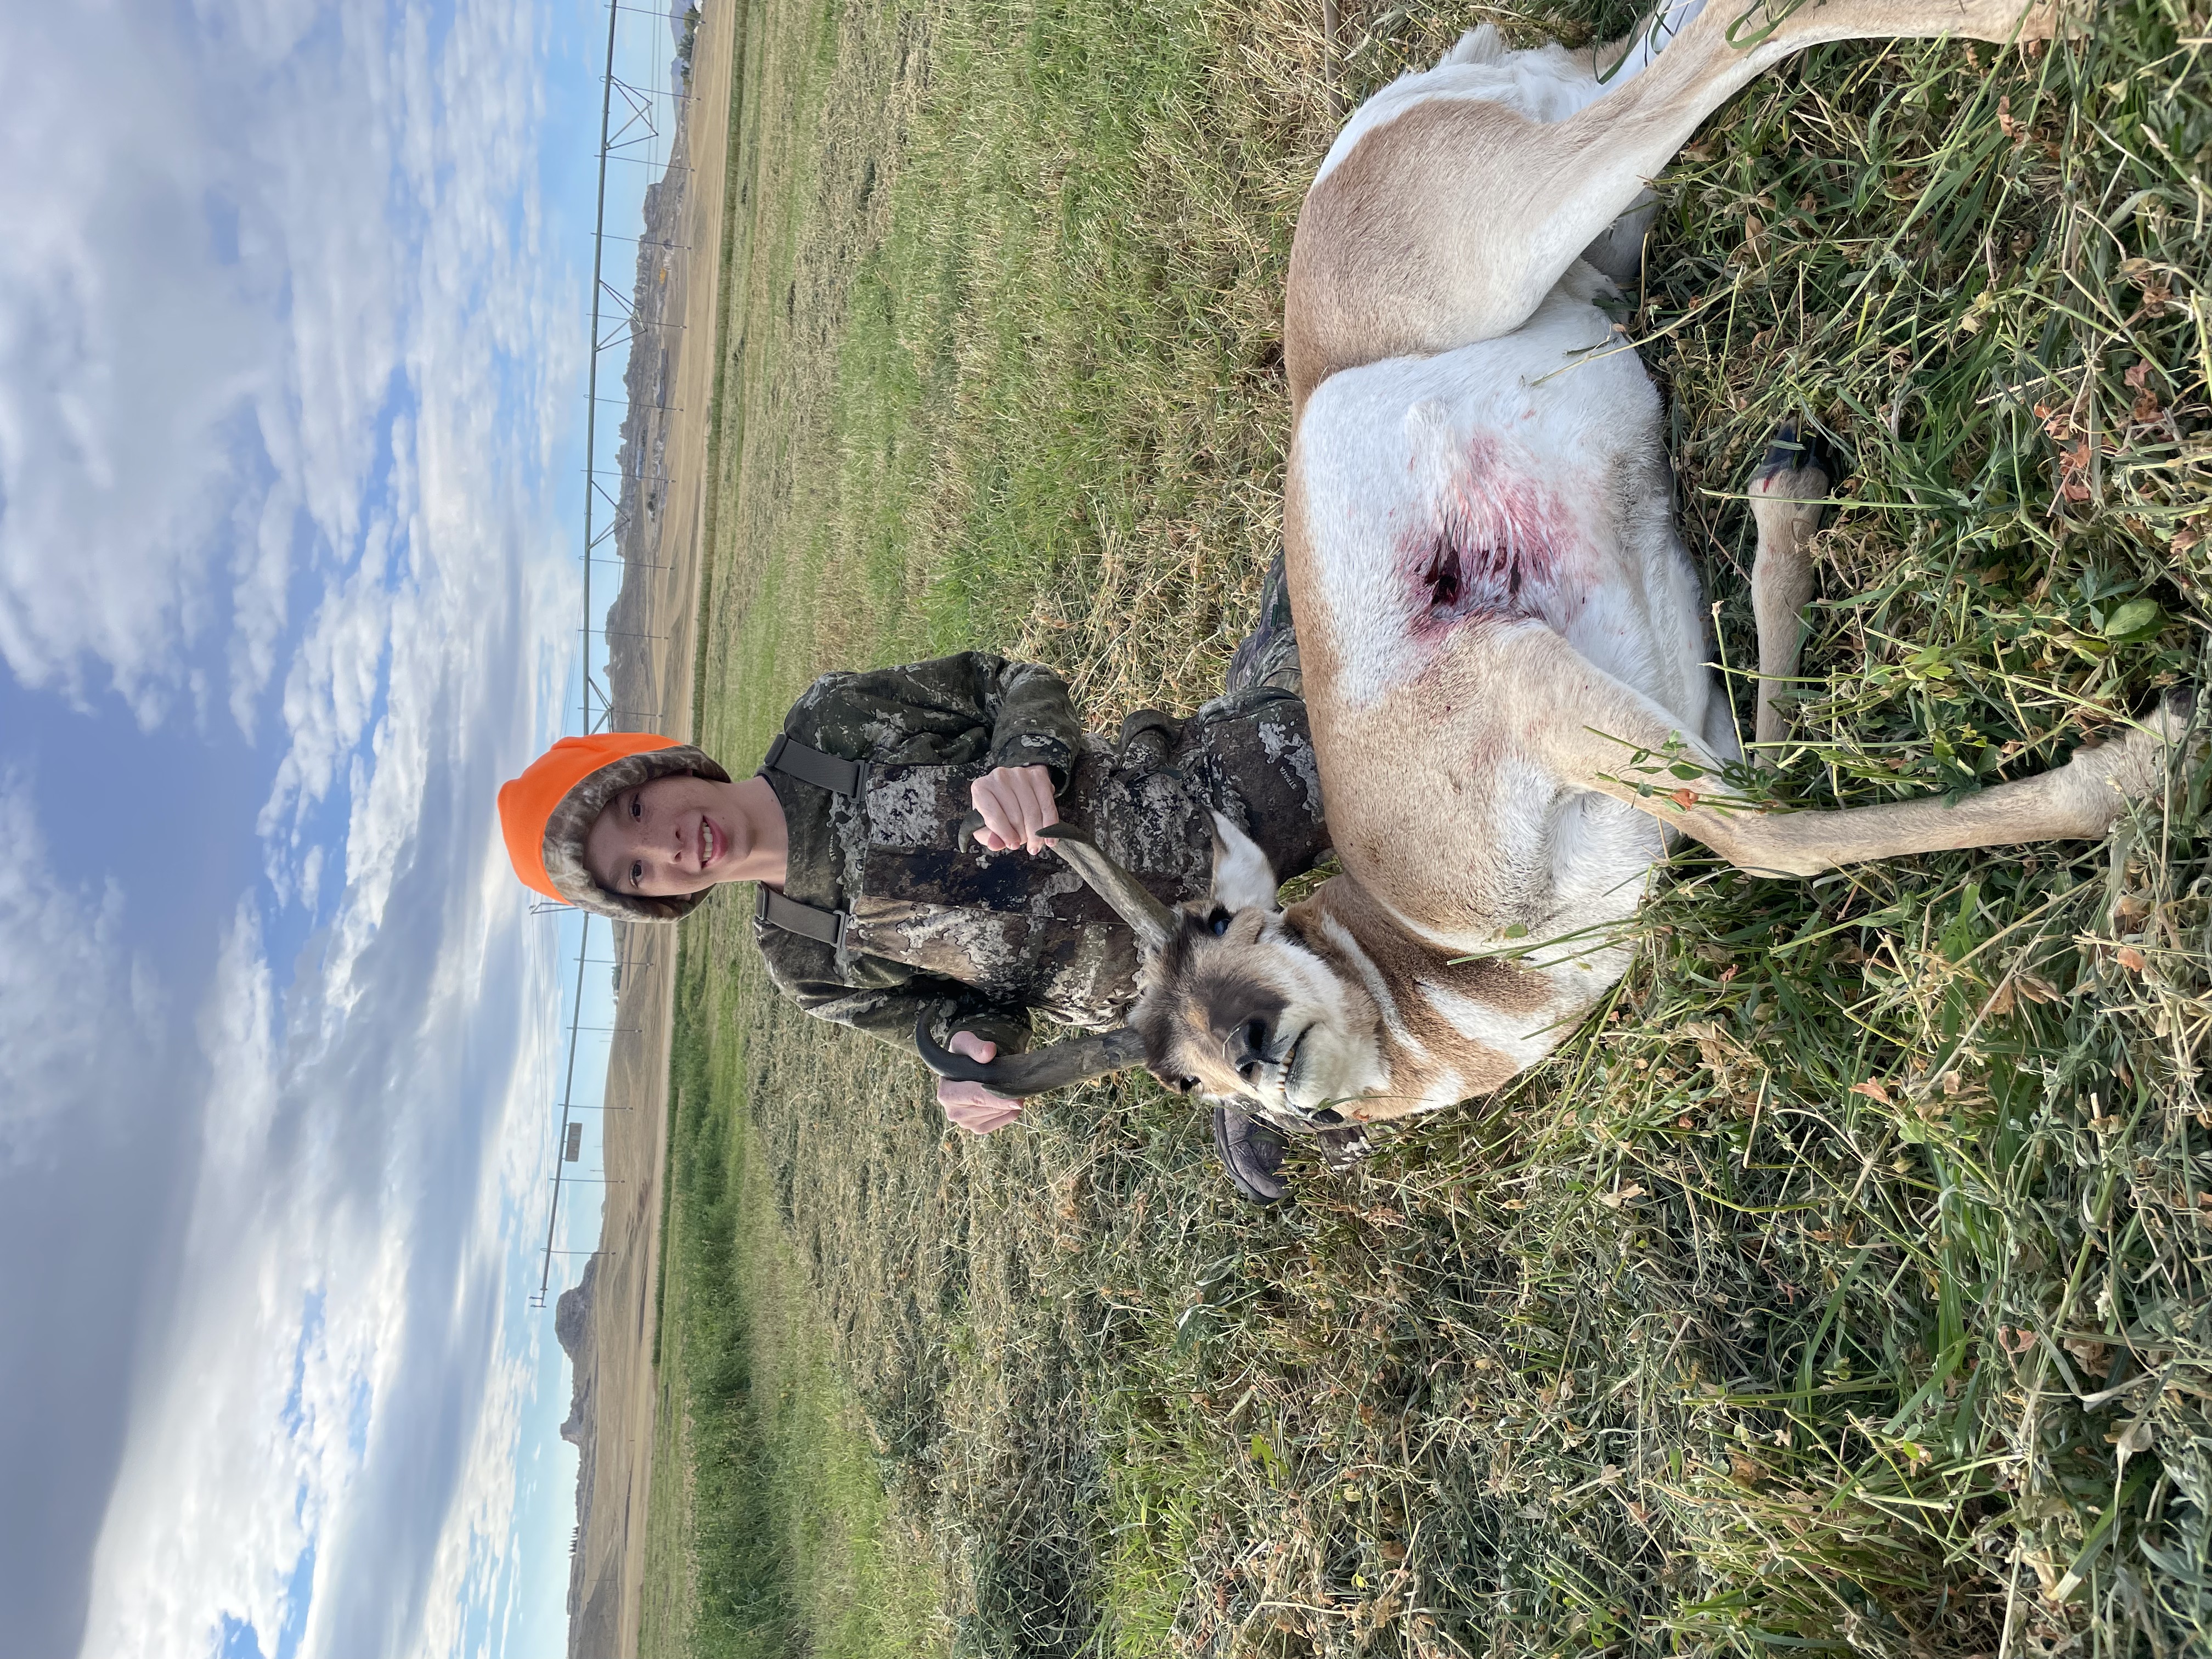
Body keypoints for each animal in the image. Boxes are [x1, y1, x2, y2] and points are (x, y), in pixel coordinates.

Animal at [921, 0, 2192, 1146]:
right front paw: (1790, 492)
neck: (1429, 950)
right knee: (1671, 52)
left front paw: (2139, 764)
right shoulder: (1686, 725)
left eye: (1226, 921)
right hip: (1605, 236)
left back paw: (2032, 25)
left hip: (1536, 216)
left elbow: (1770, 840)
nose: (1255, 1052)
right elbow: (1774, 769)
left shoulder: (1517, 675)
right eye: (1178, 1074)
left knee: (1705, 55)